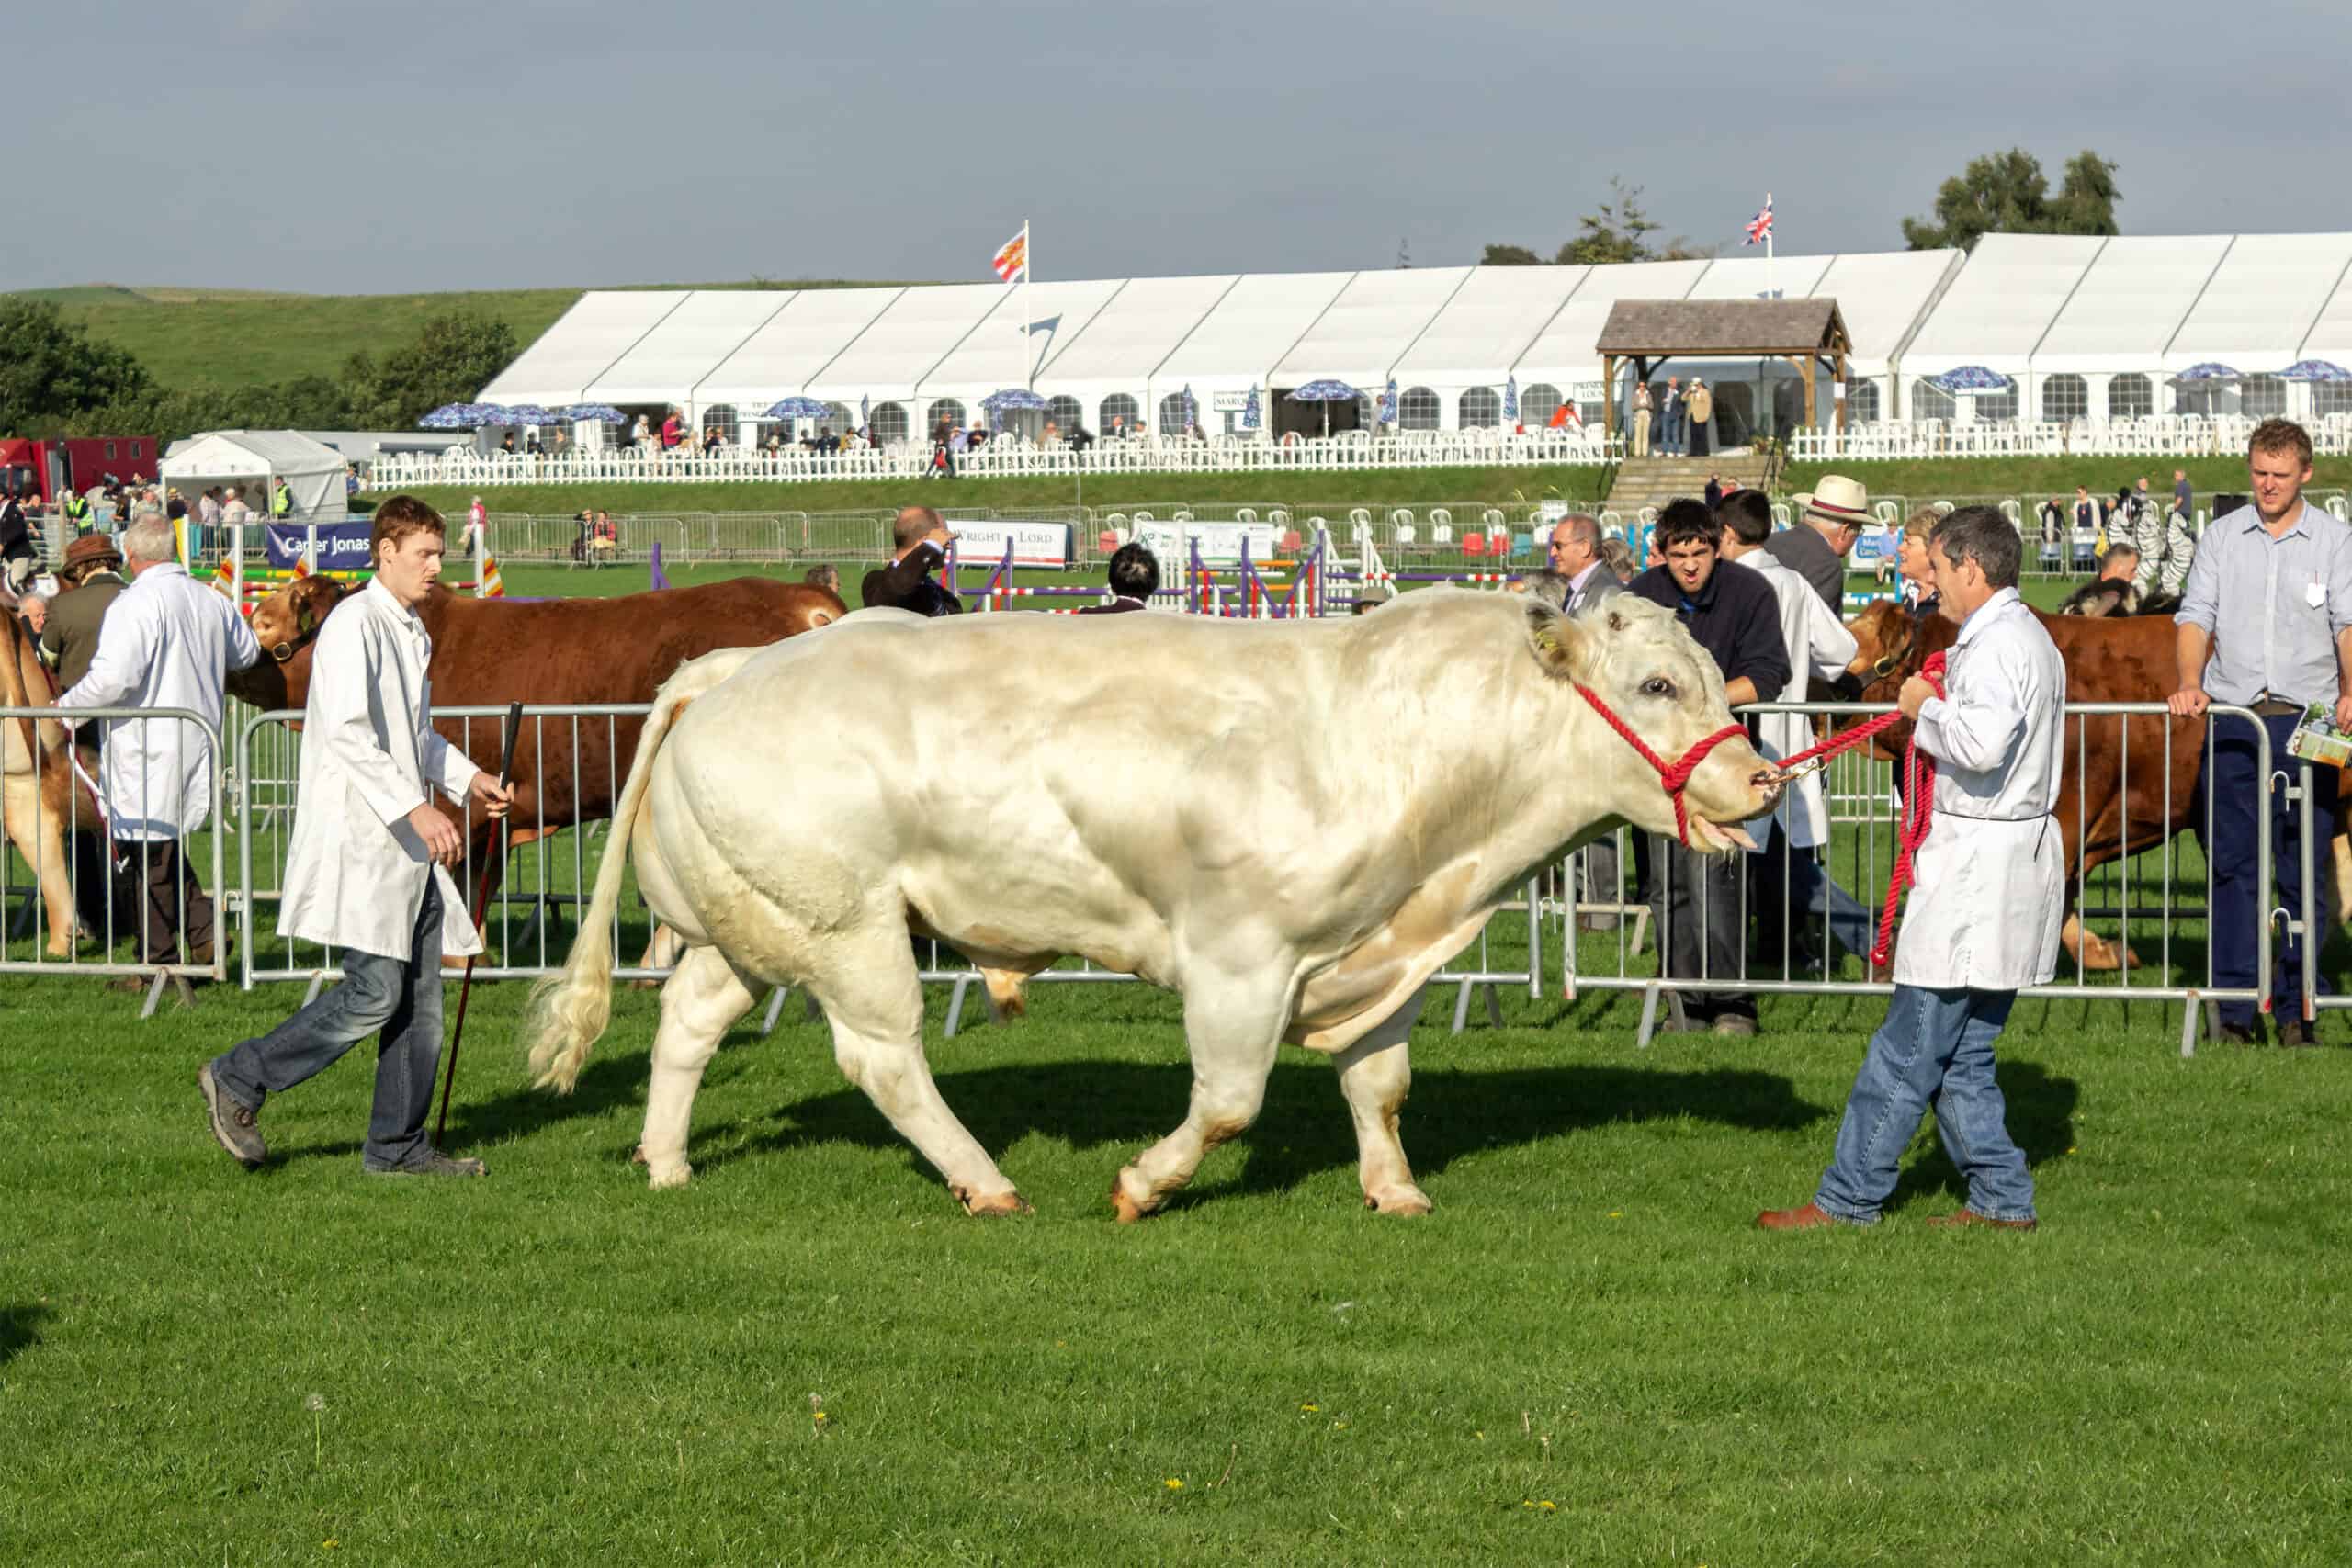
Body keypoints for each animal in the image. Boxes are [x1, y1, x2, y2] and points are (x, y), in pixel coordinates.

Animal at [227, 576, 846, 959]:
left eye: (261, 620)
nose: (230, 661)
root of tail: (802, 595)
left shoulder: (456, 808)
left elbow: (460, 884)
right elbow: (477, 887)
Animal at [524, 594, 1769, 1222]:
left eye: (1715, 676)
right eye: (1657, 684)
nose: (1760, 779)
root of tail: (728, 669)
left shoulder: (1377, 953)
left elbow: (1380, 1085)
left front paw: (1395, 1188)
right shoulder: (1239, 959)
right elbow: (1227, 1103)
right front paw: (1141, 1183)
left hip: (758, 923)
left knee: (687, 1022)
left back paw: (667, 1162)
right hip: (852, 932)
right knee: (883, 1060)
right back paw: (986, 1182)